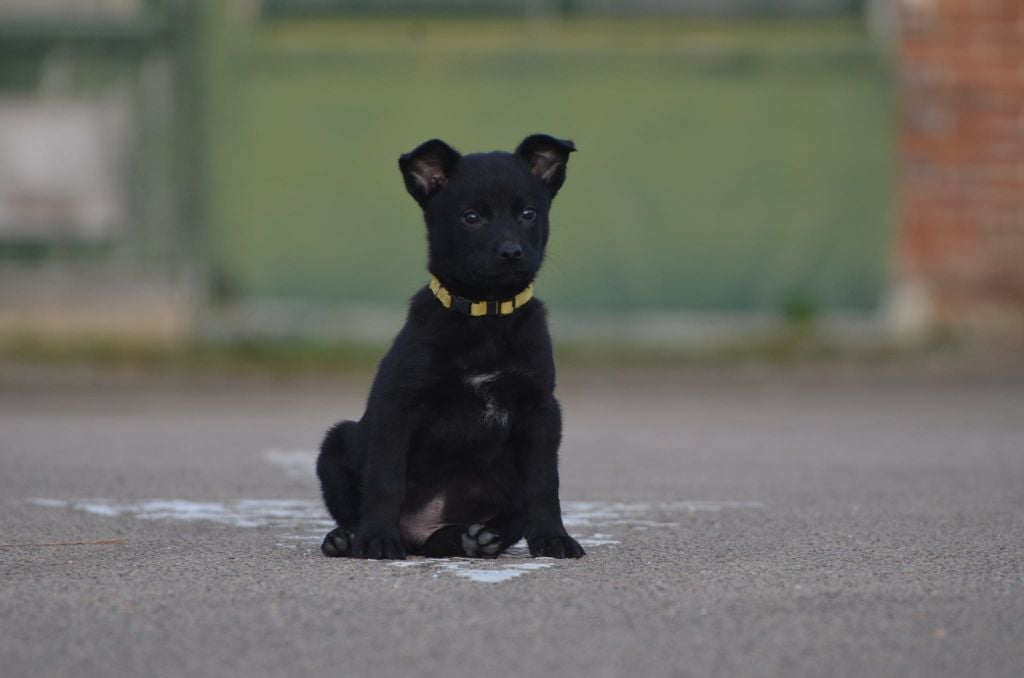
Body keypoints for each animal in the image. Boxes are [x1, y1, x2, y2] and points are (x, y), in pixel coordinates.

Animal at [316, 134, 585, 560]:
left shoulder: (540, 409)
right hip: (337, 442)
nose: (511, 252)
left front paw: (552, 537)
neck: (486, 317)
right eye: (471, 217)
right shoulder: (398, 406)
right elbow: (385, 480)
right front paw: (376, 539)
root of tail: (416, 532)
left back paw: (475, 539)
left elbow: (545, 483)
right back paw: (346, 538)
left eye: (528, 213)